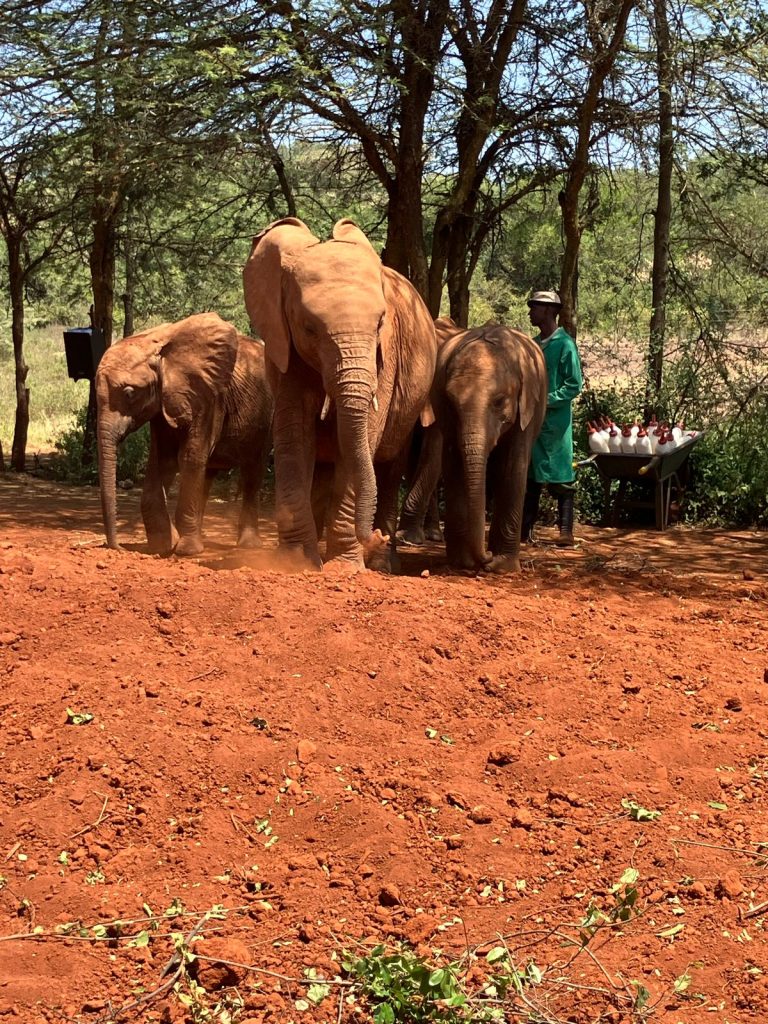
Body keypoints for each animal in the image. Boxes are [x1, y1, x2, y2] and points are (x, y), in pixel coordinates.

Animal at [96, 312, 273, 556]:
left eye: (129, 393)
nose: (118, 547)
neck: (158, 347)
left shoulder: (209, 397)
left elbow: (190, 457)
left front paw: (185, 550)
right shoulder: (163, 403)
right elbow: (163, 461)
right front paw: (164, 545)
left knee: (252, 470)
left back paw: (247, 545)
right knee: (207, 475)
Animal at [242, 217, 437, 571]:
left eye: (380, 323)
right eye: (309, 328)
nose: (374, 535)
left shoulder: (384, 358)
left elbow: (364, 438)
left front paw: (345, 567)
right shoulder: (283, 347)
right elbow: (294, 435)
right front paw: (296, 563)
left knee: (389, 468)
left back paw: (381, 564)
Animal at [399, 317, 547, 573]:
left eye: (499, 402)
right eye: (452, 402)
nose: (486, 557)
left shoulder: (526, 408)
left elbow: (513, 466)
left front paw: (501, 566)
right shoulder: (440, 405)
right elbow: (449, 460)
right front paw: (463, 563)